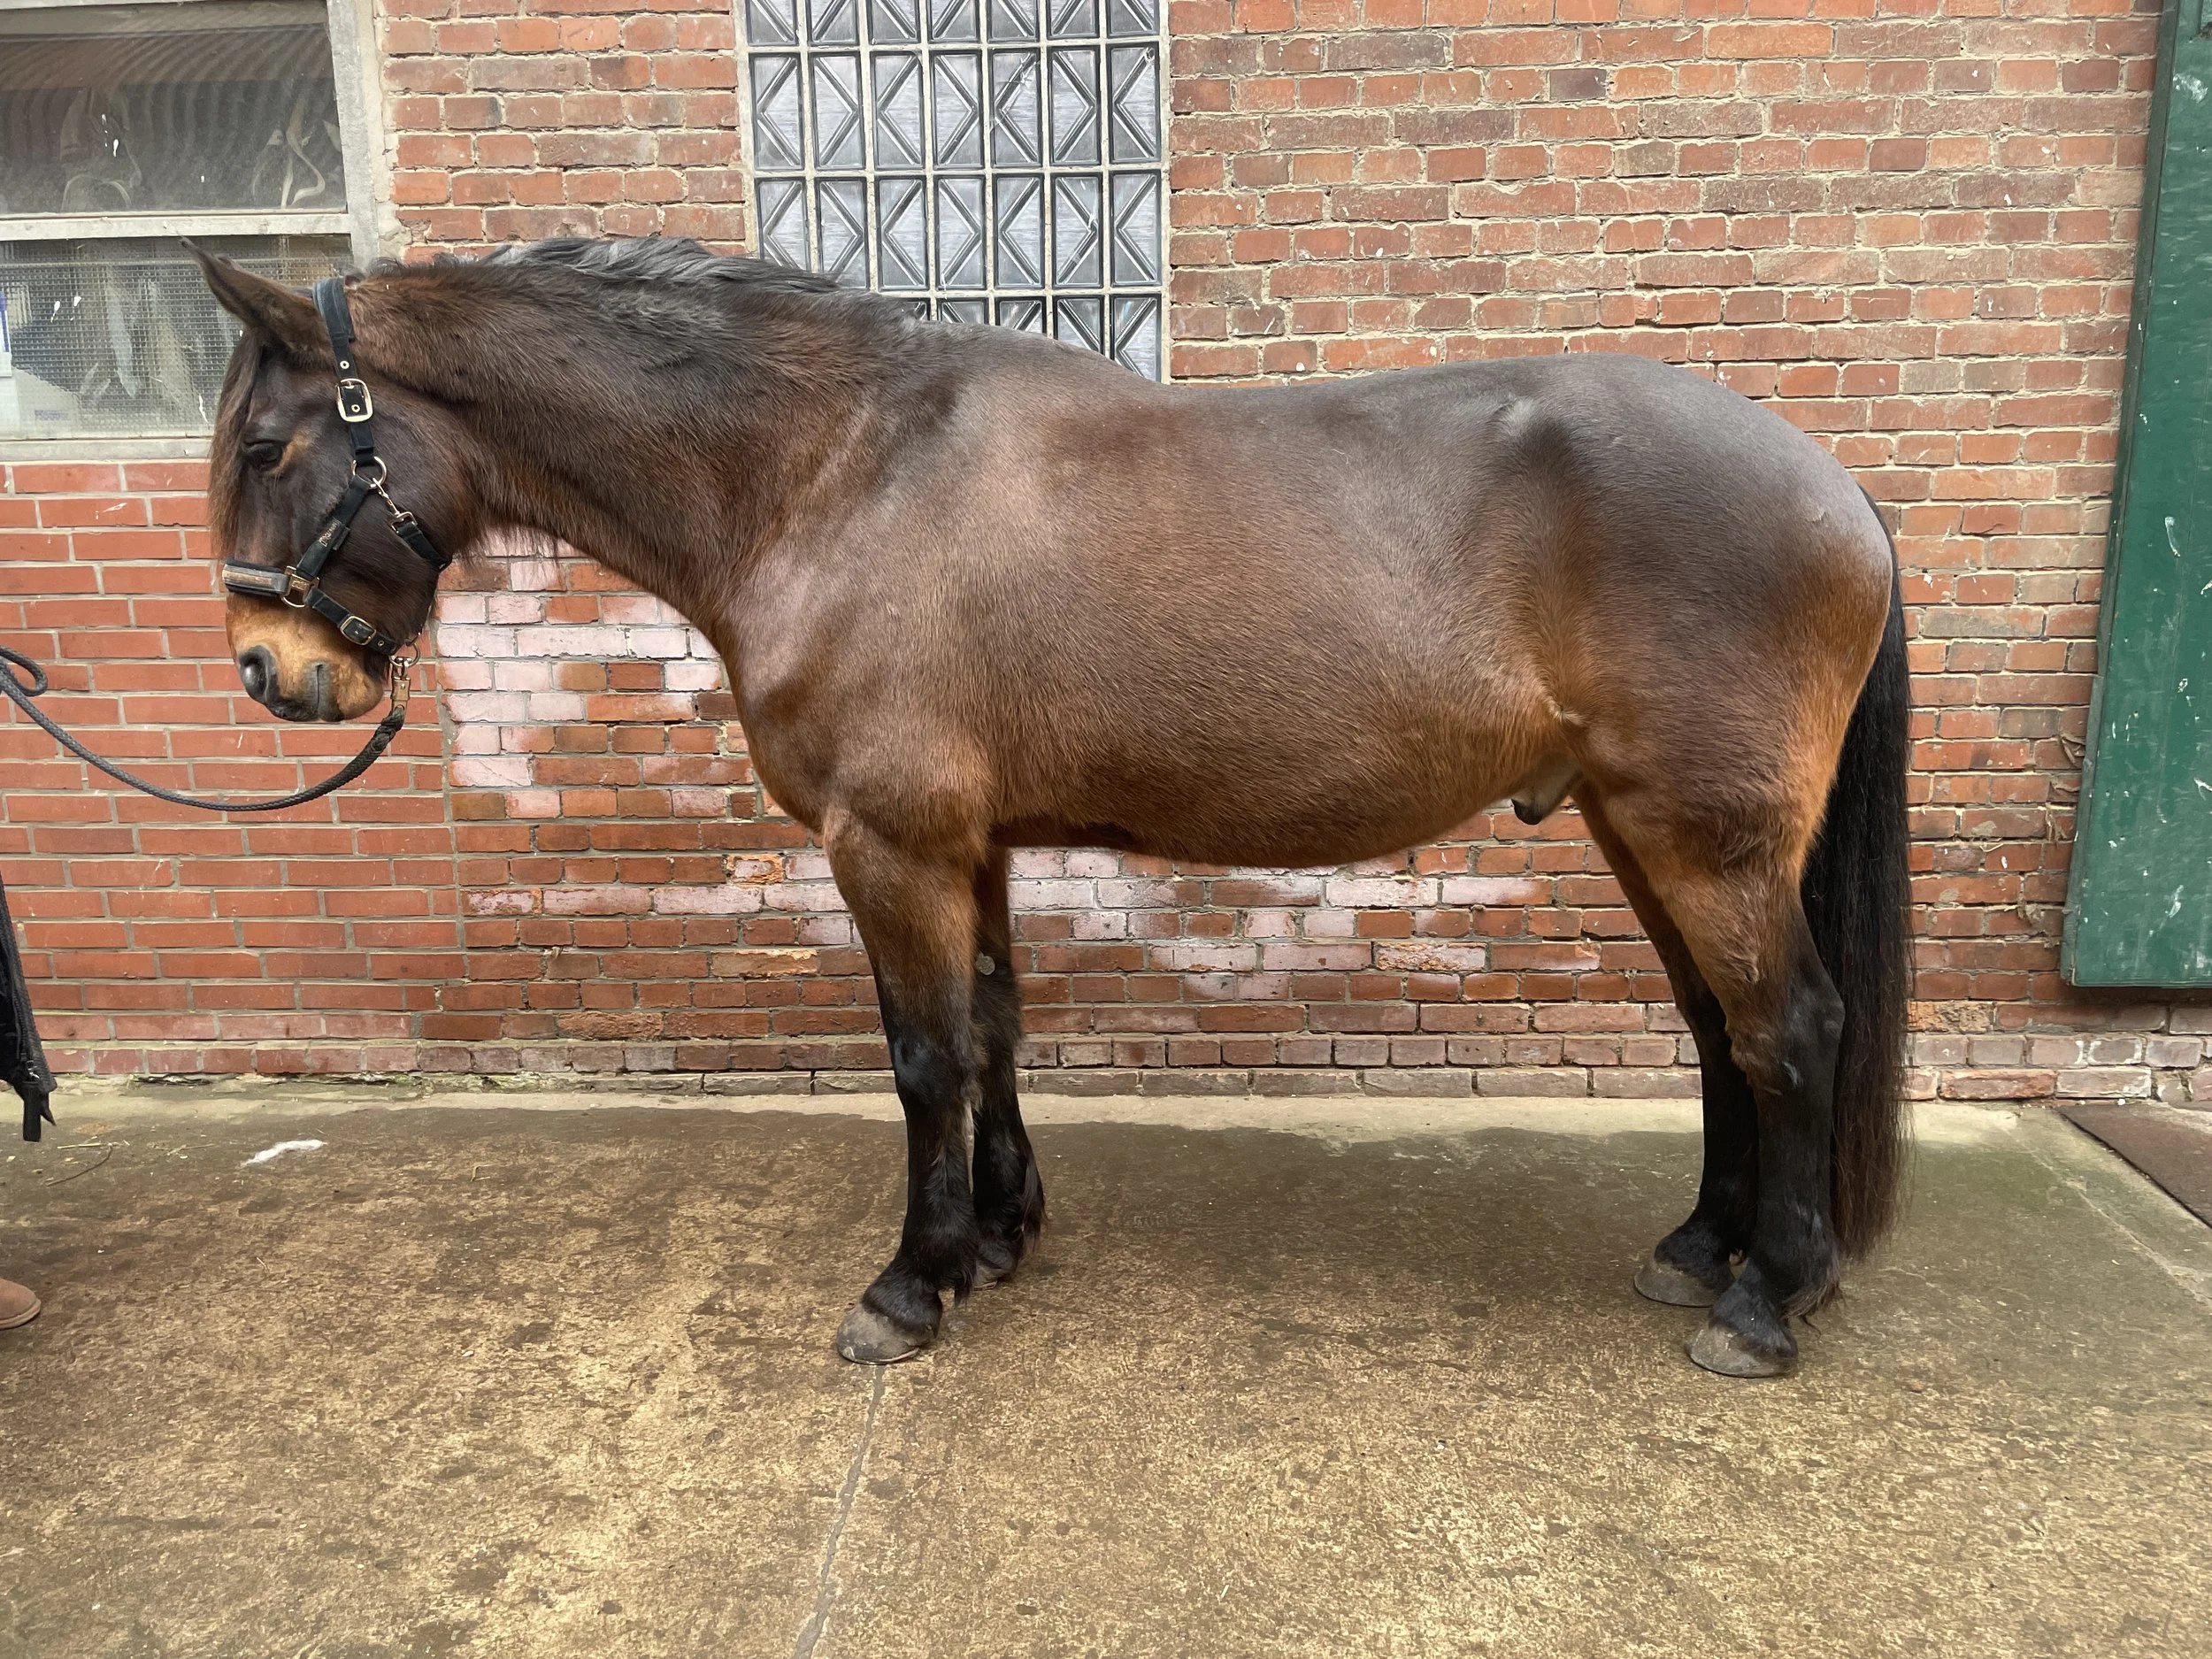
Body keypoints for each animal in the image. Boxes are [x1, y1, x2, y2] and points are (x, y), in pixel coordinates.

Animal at [191, 238, 1911, 1380]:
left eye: (273, 445)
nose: (274, 674)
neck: (835, 475)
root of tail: (1834, 486)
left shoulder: (886, 844)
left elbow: (923, 1057)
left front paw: (912, 1282)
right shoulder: (970, 845)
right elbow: (998, 1026)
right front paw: (1001, 1237)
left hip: (1704, 836)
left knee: (1791, 1027)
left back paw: (1770, 1299)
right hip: (1642, 827)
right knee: (1719, 1032)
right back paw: (1702, 1251)